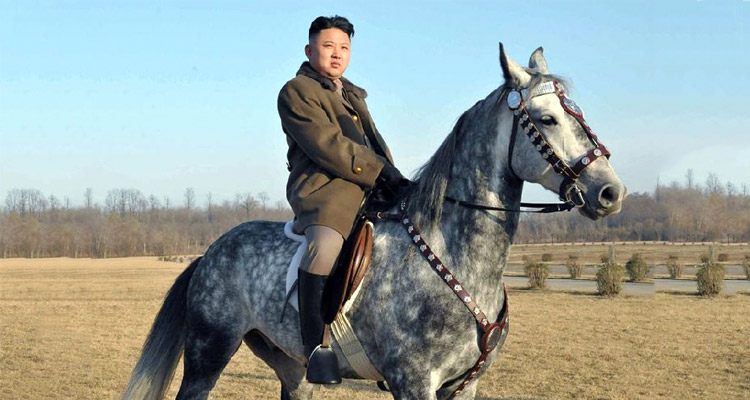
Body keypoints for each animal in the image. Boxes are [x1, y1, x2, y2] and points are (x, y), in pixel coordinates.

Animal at [122, 43, 625, 400]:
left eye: (579, 114)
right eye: (547, 119)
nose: (610, 192)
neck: (455, 256)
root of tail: (210, 251)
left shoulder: (463, 386)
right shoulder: (413, 382)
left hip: (291, 365)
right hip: (208, 354)